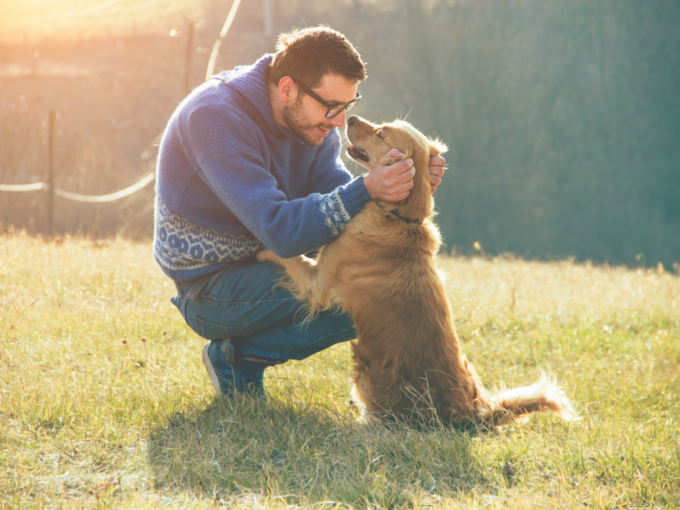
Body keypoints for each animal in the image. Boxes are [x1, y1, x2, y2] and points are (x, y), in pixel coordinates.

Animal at [258, 114, 576, 426]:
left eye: (381, 133)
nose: (350, 117)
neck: (397, 216)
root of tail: (471, 415)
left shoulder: (318, 284)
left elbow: (290, 257)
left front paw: (258, 247)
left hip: (366, 375)